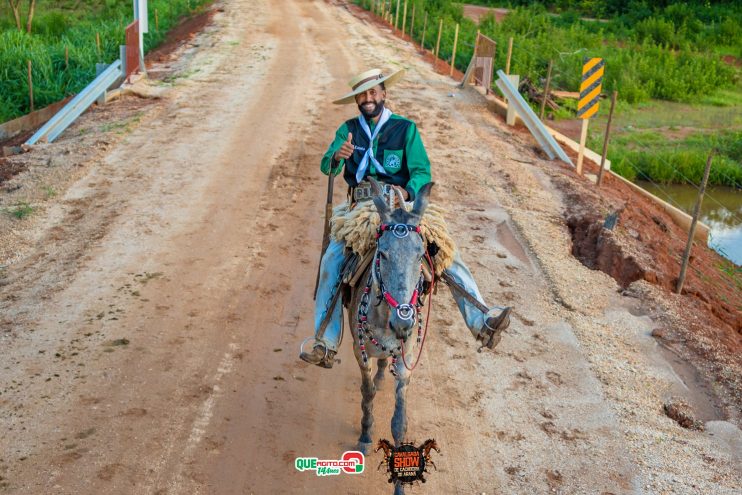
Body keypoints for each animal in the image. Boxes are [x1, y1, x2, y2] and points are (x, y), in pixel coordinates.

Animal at [350, 179, 436, 495]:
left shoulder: (406, 359)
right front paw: (365, 434)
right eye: (383, 253)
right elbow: (367, 394)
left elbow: (400, 423)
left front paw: (401, 482)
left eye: (420, 253)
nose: (403, 321)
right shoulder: (359, 351)